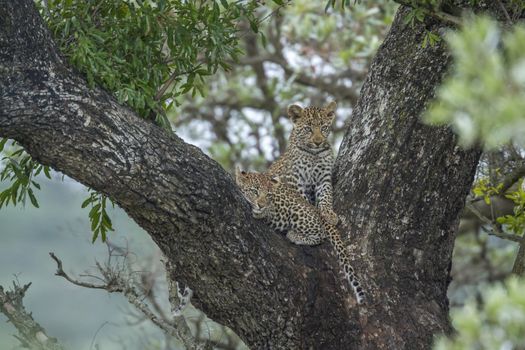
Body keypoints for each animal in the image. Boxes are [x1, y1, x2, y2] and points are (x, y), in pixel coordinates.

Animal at [234, 169, 364, 304]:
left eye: (269, 195)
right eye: (254, 191)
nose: (261, 205)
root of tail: (317, 211)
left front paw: (260, 212)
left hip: (297, 212)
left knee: (320, 234)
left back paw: (293, 235)